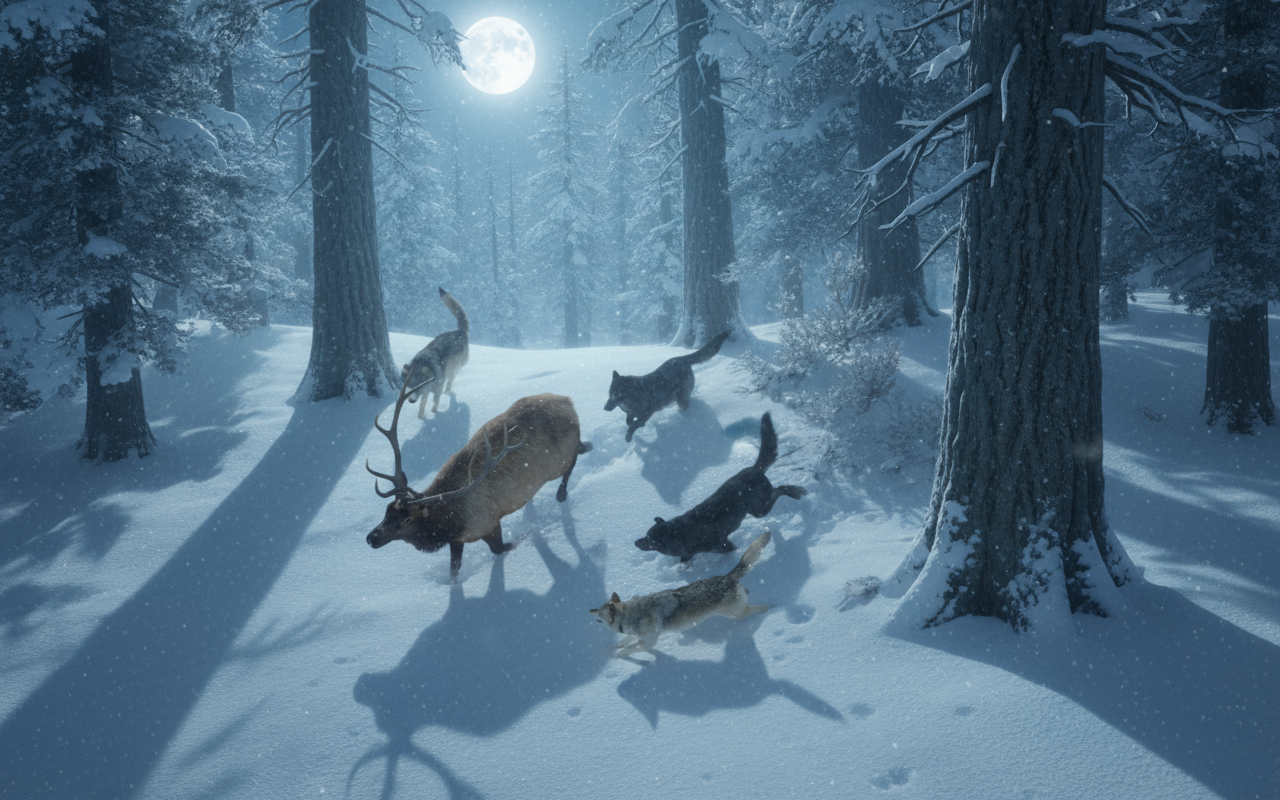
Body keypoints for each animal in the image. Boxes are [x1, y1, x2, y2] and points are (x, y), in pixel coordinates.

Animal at [402, 287, 469, 418]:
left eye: (418, 387)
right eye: (410, 386)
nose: (411, 401)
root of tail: (460, 332)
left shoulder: (436, 390)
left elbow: (435, 404)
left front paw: (434, 414)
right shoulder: (425, 392)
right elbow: (422, 407)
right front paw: (420, 418)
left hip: (454, 369)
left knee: (450, 382)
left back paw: (448, 393)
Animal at [590, 531, 772, 657]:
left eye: (599, 612)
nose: (589, 610)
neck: (629, 616)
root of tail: (727, 577)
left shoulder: (648, 642)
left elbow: (629, 649)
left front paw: (618, 656)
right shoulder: (637, 637)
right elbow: (625, 641)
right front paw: (614, 647)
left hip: (735, 614)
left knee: (757, 608)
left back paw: (771, 607)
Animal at [634, 412, 805, 562]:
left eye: (649, 540)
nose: (635, 542)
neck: (680, 534)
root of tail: (754, 468)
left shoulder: (724, 546)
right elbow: (685, 559)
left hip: (760, 510)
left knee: (780, 489)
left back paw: (796, 491)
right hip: (756, 510)